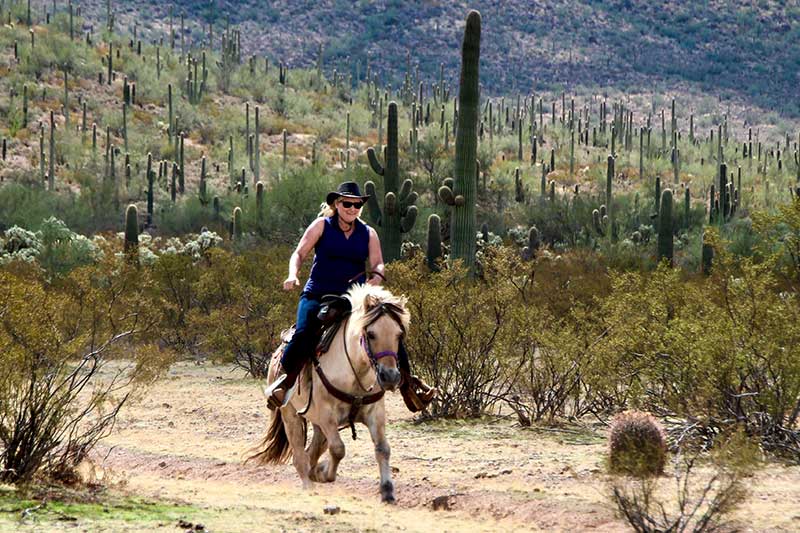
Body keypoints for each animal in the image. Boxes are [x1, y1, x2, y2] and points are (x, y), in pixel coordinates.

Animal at [248, 284, 412, 500]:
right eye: (371, 334)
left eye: (399, 334)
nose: (390, 377)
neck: (355, 370)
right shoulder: (326, 415)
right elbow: (338, 449)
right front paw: (323, 473)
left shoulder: (374, 413)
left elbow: (383, 449)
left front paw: (387, 491)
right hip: (290, 415)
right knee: (300, 455)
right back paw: (309, 484)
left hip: (317, 424)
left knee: (313, 449)